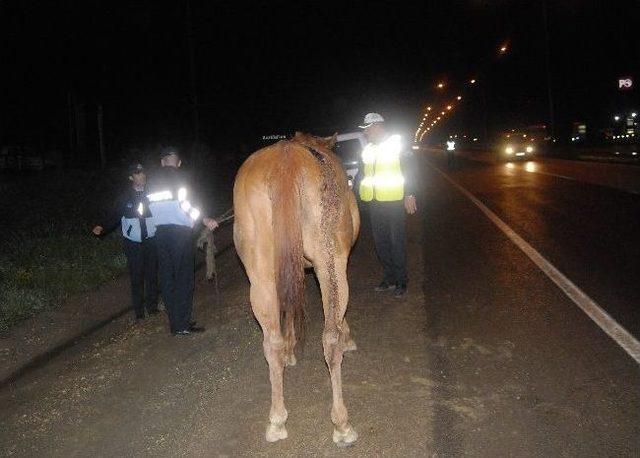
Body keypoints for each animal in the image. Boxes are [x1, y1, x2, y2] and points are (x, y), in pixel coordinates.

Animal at [232, 131, 360, 444]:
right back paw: (342, 424)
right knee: (330, 337)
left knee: (271, 342)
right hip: (329, 262)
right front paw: (348, 337)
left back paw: (277, 420)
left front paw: (290, 350)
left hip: (262, 275)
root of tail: (286, 158)